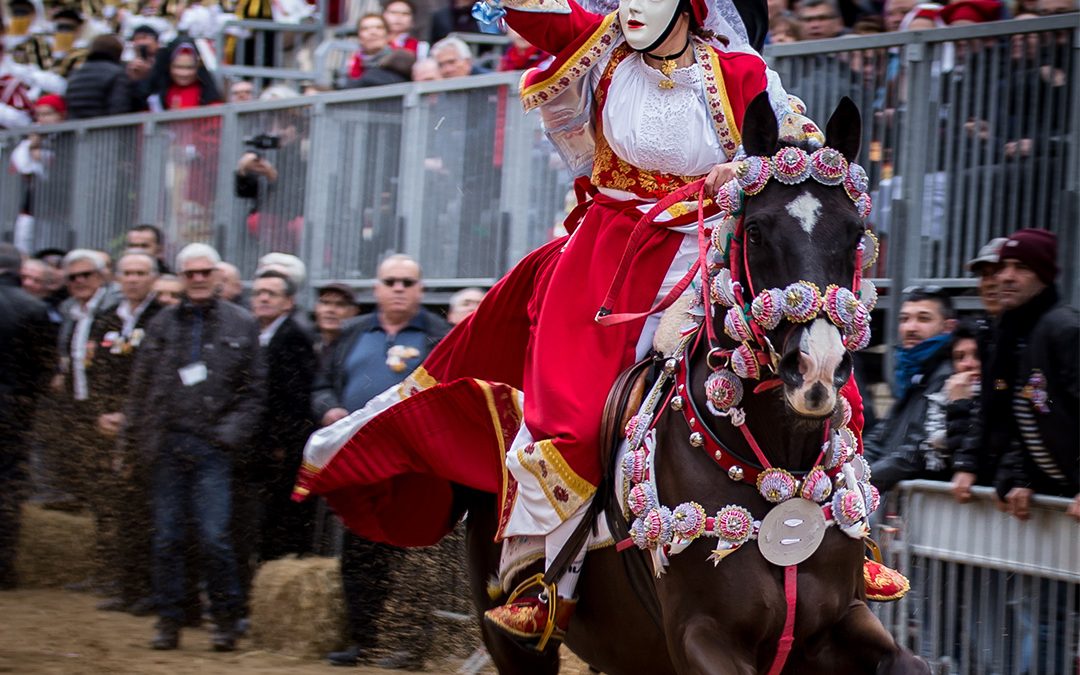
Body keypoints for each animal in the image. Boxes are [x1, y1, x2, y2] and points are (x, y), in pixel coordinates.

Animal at [455, 95, 928, 673]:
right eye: (755, 231)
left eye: (856, 233)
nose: (816, 368)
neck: (781, 471)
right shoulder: (699, 635)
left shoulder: (839, 623)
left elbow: (914, 662)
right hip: (514, 641)